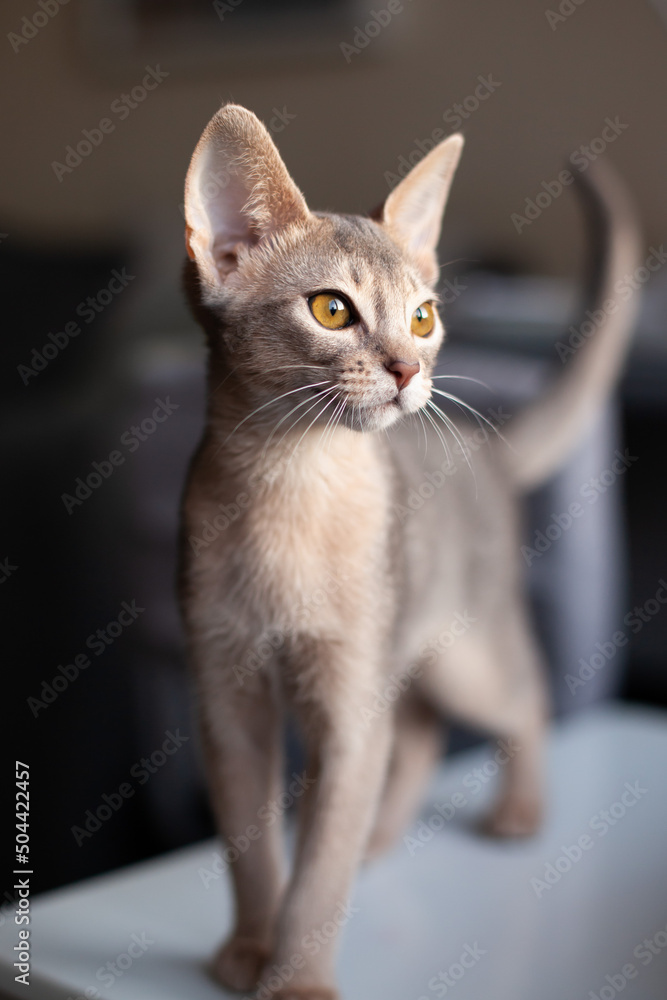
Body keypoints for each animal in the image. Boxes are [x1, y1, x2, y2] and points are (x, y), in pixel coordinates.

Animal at [179, 103, 640, 1000]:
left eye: (422, 317)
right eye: (331, 311)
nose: (405, 370)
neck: (289, 484)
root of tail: (486, 450)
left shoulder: (347, 704)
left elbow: (317, 873)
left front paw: (295, 979)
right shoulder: (227, 701)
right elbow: (252, 852)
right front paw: (247, 950)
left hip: (464, 653)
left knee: (523, 695)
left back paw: (517, 813)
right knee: (421, 733)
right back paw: (381, 837)